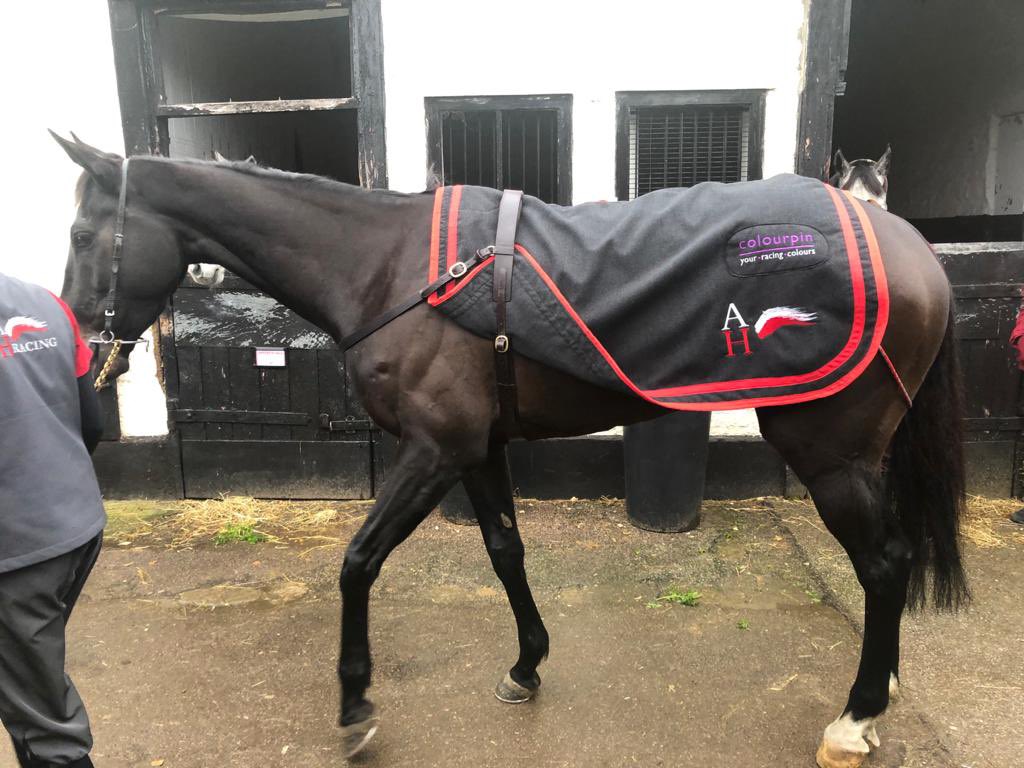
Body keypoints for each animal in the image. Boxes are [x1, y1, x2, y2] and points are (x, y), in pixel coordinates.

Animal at [52, 132, 966, 768]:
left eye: (81, 234)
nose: (80, 348)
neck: (393, 269)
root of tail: (908, 246)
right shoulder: (477, 447)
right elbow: (504, 551)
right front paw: (526, 666)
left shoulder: (433, 449)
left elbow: (357, 562)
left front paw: (355, 706)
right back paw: (879, 690)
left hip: (830, 453)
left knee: (885, 563)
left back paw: (854, 719)